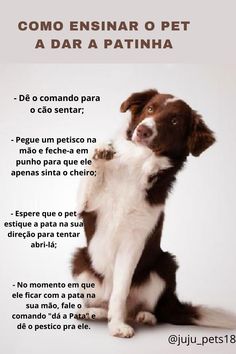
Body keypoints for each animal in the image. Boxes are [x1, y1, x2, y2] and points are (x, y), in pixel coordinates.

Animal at [71, 88, 236, 338]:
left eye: (175, 120)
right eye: (150, 108)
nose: (143, 130)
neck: (138, 164)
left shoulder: (134, 240)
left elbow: (121, 290)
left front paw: (117, 326)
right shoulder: (85, 206)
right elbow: (91, 172)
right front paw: (101, 150)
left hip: (165, 264)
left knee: (141, 307)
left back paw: (144, 316)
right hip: (80, 260)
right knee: (99, 301)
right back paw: (92, 312)